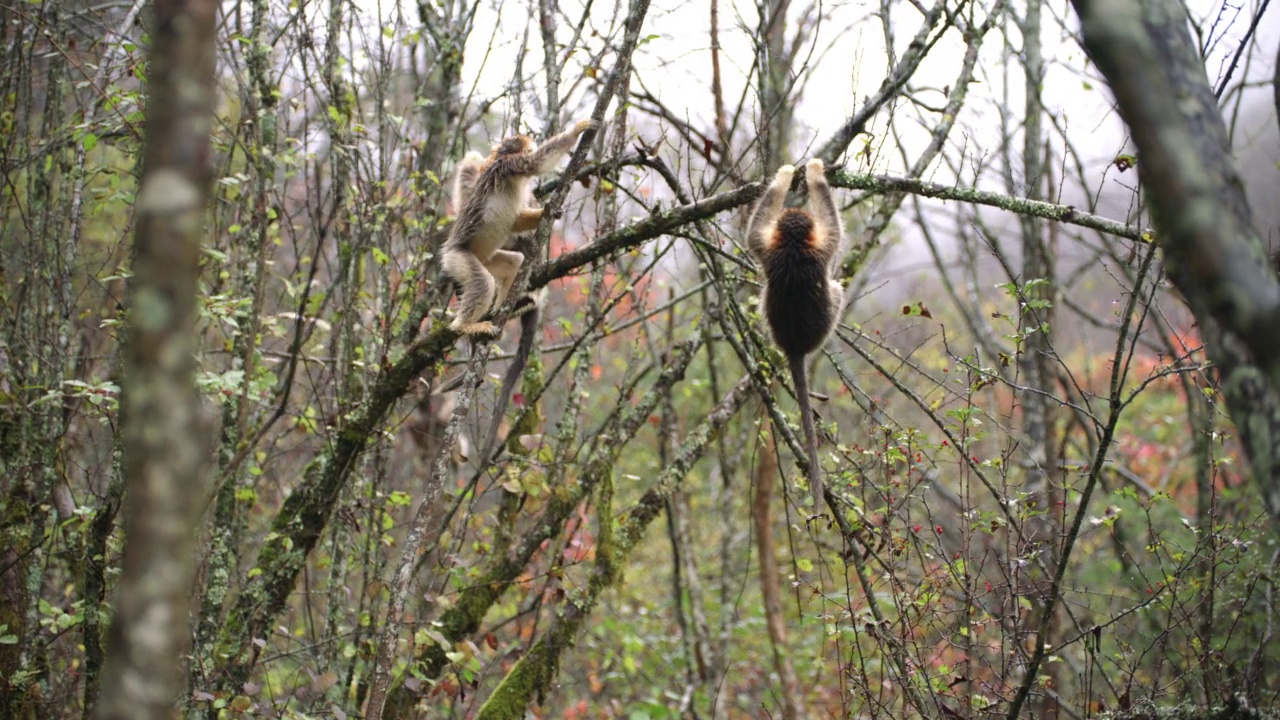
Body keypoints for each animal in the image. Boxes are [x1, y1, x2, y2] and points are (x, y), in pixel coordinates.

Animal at [747, 161, 844, 509]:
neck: (793, 246)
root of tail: (795, 346)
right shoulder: (823, 244)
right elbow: (832, 223)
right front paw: (808, 173)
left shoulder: (766, 247)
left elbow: (753, 231)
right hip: (828, 320)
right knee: (837, 289)